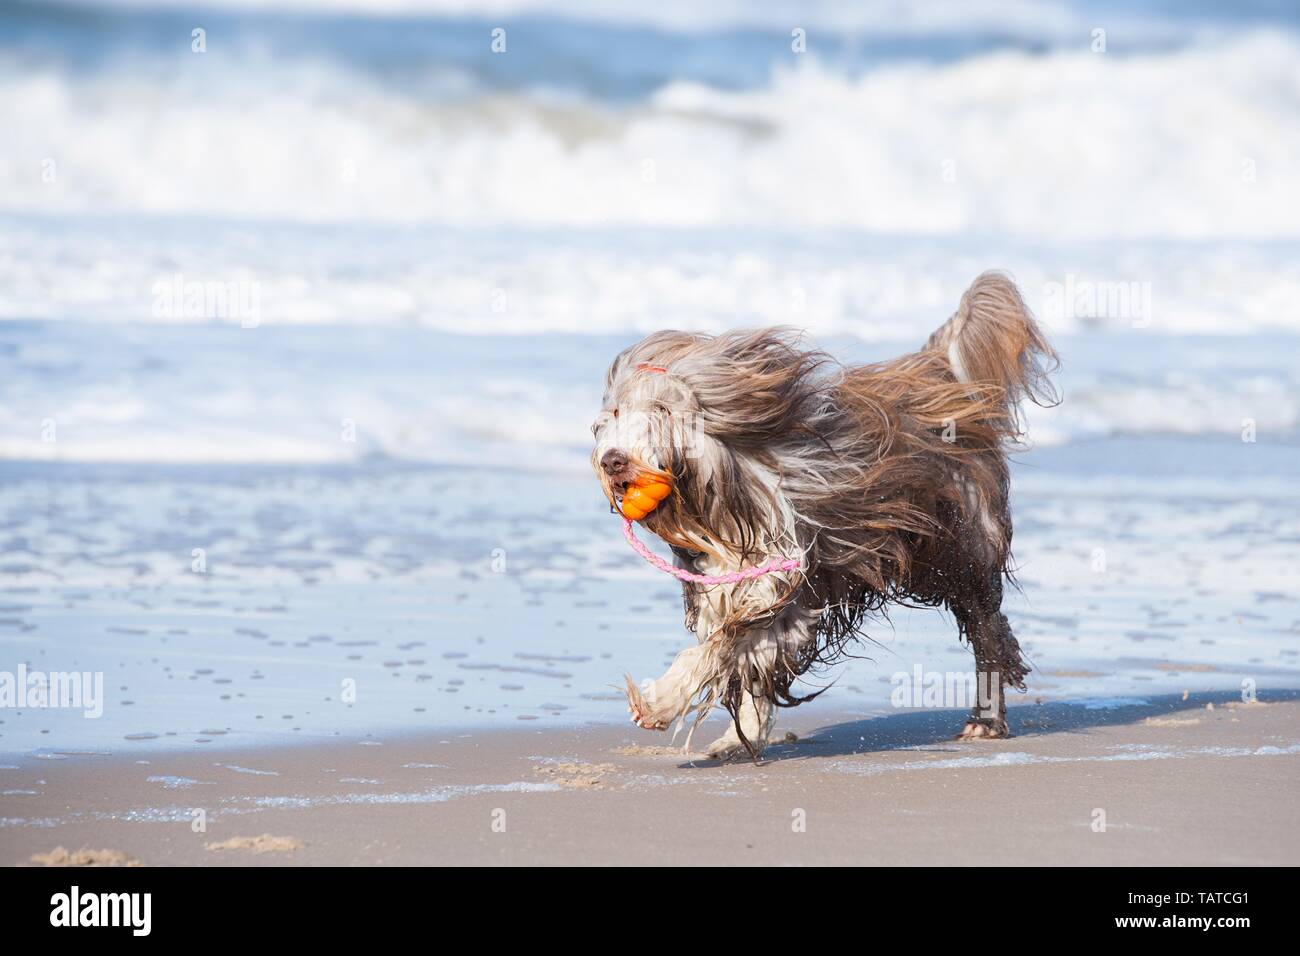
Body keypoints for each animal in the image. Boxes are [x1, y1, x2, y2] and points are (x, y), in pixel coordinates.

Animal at [590, 273, 1055, 759]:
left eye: (662, 410)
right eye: (616, 412)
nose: (613, 461)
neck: (722, 505)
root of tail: (940, 373)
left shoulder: (790, 582)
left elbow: (728, 643)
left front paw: (657, 702)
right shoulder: (732, 590)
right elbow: (748, 661)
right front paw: (738, 735)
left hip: (961, 552)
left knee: (988, 631)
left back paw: (985, 721)